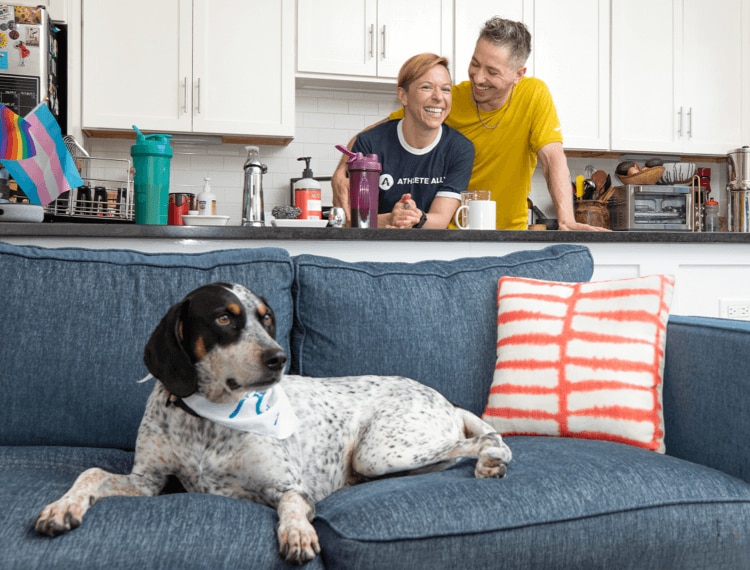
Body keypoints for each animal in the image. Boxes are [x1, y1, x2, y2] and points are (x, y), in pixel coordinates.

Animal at [36, 282, 516, 560]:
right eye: (224, 317)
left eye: (266, 320)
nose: (279, 358)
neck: (208, 418)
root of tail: (444, 400)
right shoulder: (148, 482)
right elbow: (90, 472)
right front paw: (62, 507)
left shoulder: (289, 487)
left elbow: (291, 507)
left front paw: (298, 534)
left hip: (380, 451)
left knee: (479, 442)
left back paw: (491, 460)